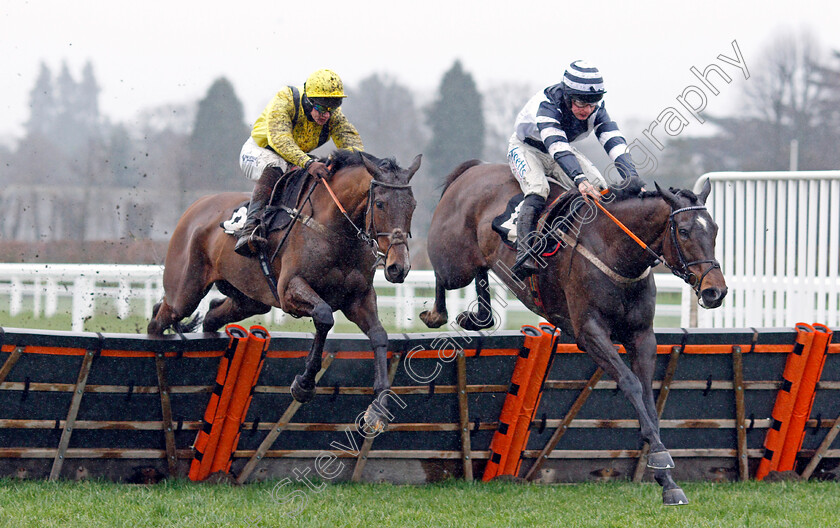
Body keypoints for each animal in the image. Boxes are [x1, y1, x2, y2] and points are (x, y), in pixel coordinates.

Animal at [149, 151, 420, 432]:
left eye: (412, 205)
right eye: (380, 204)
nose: (398, 267)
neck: (336, 230)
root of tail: (196, 206)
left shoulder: (358, 297)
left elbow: (377, 335)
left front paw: (378, 409)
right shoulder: (290, 289)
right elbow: (324, 316)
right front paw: (304, 384)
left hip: (249, 300)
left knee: (212, 315)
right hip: (184, 292)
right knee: (160, 317)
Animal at [420, 163, 728, 506]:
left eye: (715, 230)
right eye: (684, 232)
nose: (716, 291)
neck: (615, 250)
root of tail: (473, 169)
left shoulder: (642, 336)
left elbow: (650, 399)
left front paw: (667, 480)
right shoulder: (589, 332)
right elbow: (631, 383)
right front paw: (661, 460)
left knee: (482, 274)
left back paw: (477, 317)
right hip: (455, 261)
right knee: (442, 273)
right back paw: (437, 313)